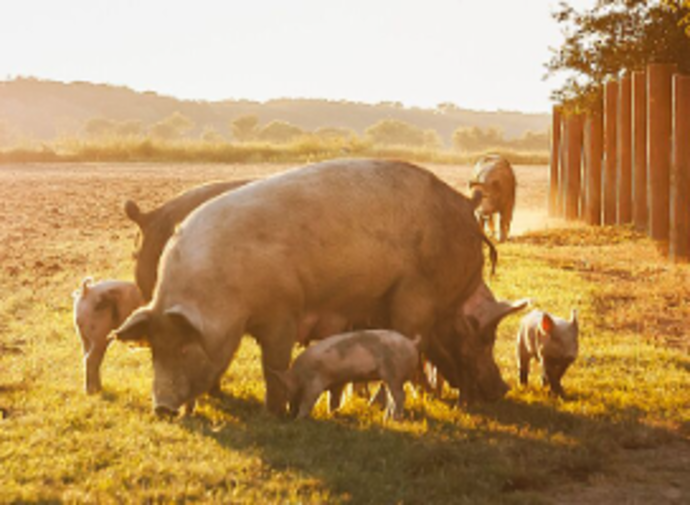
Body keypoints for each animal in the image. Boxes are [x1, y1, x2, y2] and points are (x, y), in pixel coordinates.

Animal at [268, 328, 420, 420]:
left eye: (286, 391)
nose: (290, 414)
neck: (299, 375)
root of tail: (411, 343)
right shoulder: (337, 383)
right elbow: (334, 400)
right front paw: (332, 414)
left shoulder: (315, 382)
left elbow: (309, 400)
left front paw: (300, 419)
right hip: (391, 378)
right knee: (392, 397)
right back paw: (386, 419)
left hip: (395, 373)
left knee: (400, 396)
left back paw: (395, 419)